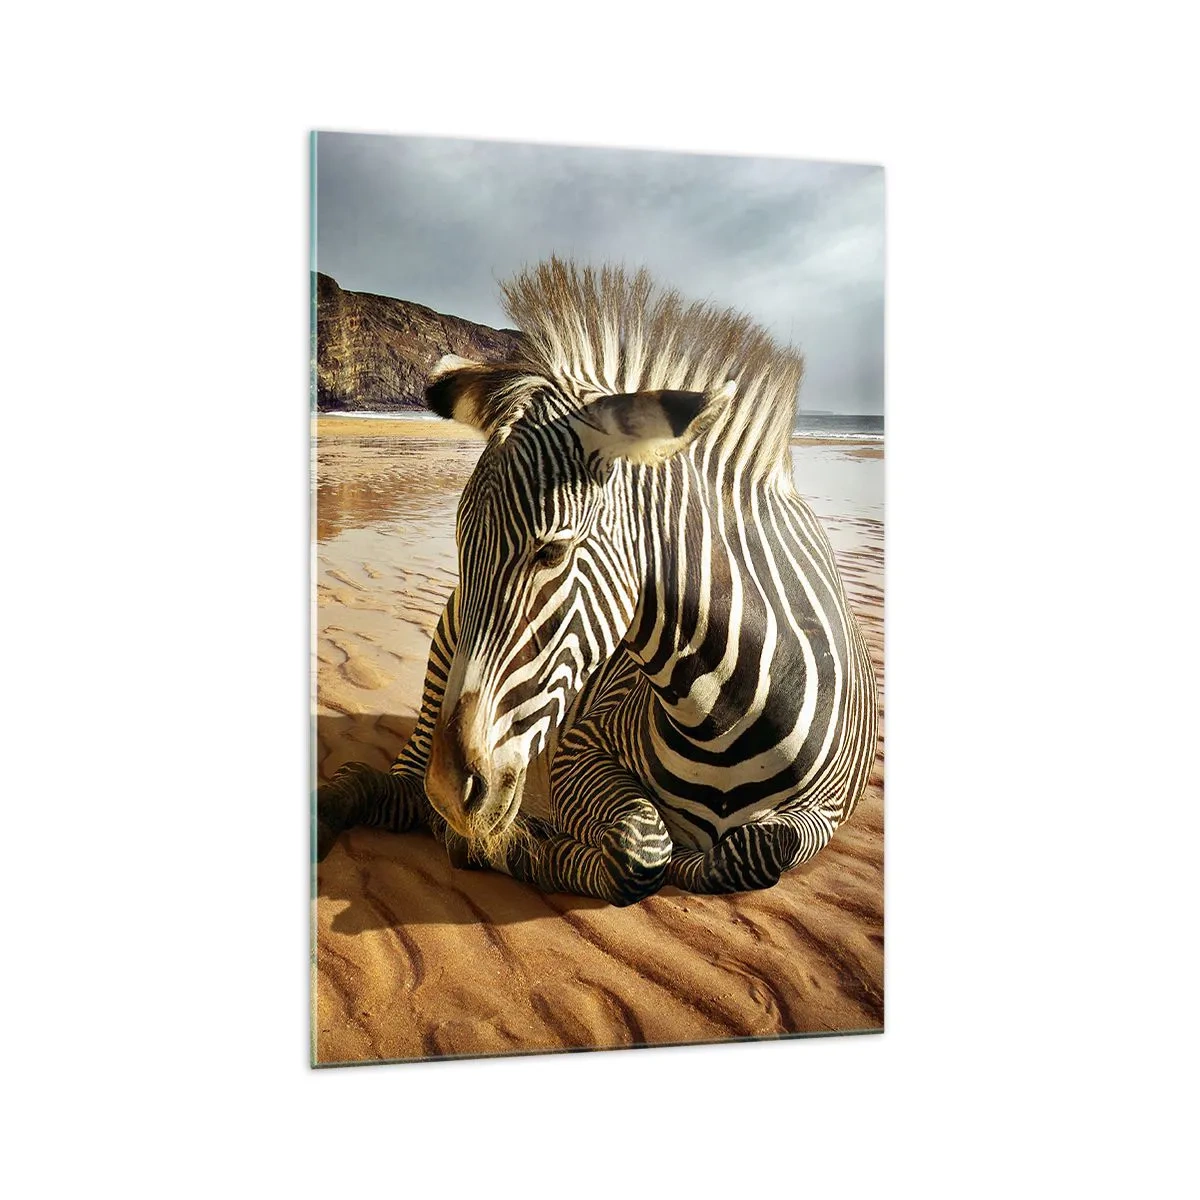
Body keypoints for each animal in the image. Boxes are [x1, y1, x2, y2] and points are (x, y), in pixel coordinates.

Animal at [317, 258, 878, 904]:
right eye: (461, 546)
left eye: (553, 551)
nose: (451, 792)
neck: (725, 714)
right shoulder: (580, 747)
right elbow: (642, 848)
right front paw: (510, 847)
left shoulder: (828, 811)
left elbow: (752, 852)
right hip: (445, 654)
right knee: (401, 787)